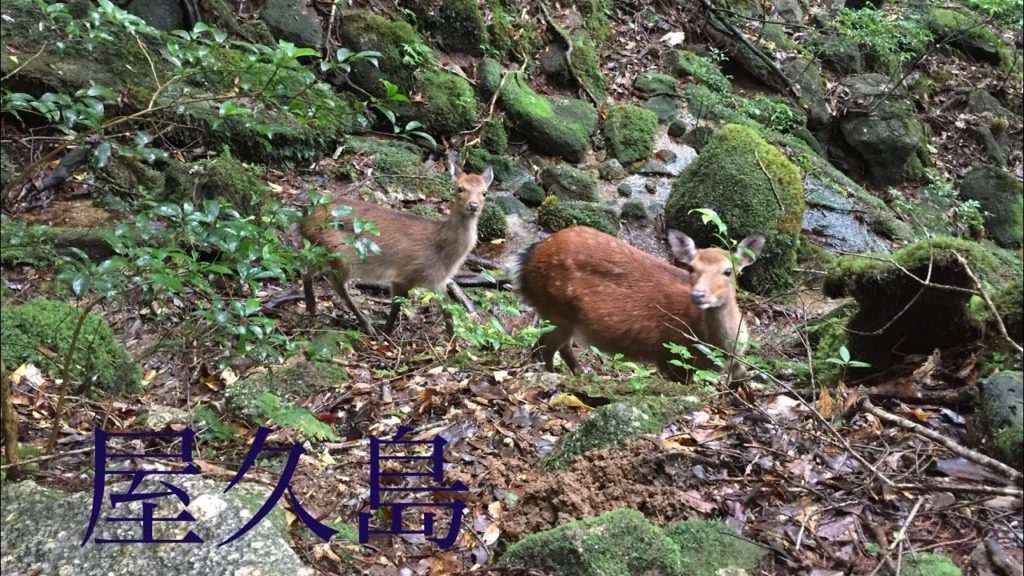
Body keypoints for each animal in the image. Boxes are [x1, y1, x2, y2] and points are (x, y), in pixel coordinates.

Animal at [301, 161, 493, 336]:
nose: (473, 206)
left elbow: (448, 313)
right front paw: (386, 334)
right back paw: (367, 326)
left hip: (322, 251)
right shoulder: (404, 275)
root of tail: (306, 222)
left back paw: (311, 309)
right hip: (341, 255)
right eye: (460, 188)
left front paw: (453, 344)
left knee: (306, 271)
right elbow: (396, 307)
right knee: (337, 285)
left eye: (484, 192)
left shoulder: (438, 281)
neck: (441, 250)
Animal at [513, 226, 765, 382]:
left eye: (728, 270)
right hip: (556, 309)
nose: (698, 295)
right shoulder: (671, 357)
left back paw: (581, 373)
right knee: (546, 348)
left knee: (551, 346)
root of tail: (527, 259)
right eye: (692, 268)